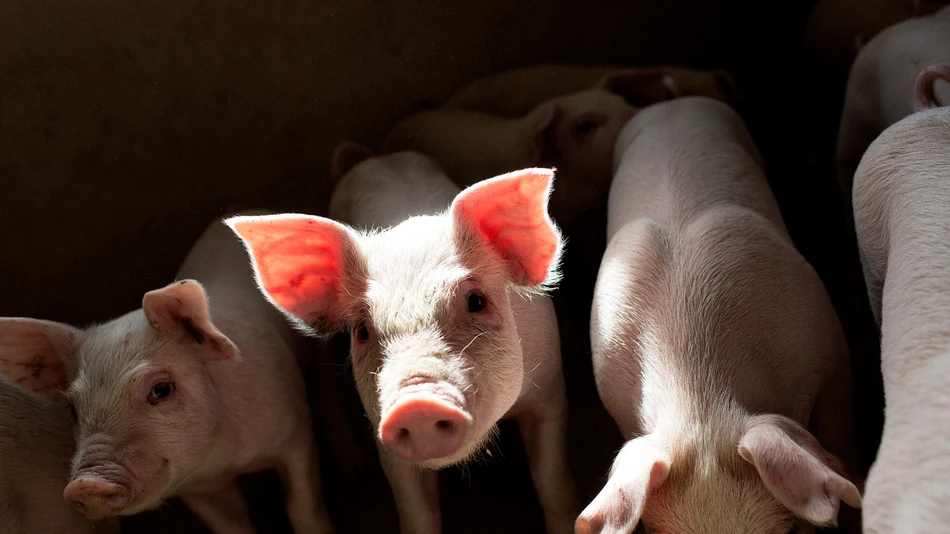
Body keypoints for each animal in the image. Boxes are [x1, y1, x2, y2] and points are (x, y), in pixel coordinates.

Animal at [226, 149, 578, 534]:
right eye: (362, 329)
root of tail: (375, 155)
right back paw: (352, 469)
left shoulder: (551, 393)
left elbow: (551, 481)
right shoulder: (382, 434)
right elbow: (416, 513)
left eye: (476, 301)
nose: (417, 403)